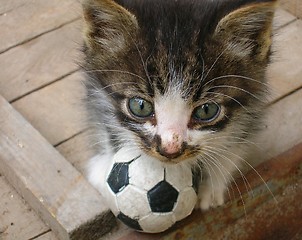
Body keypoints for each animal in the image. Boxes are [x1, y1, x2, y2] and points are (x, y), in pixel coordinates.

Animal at [80, 0, 276, 210]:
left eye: (207, 110)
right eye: (140, 106)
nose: (170, 150)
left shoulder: (254, 92)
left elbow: (238, 136)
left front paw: (212, 185)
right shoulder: (95, 81)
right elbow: (102, 116)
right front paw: (105, 165)